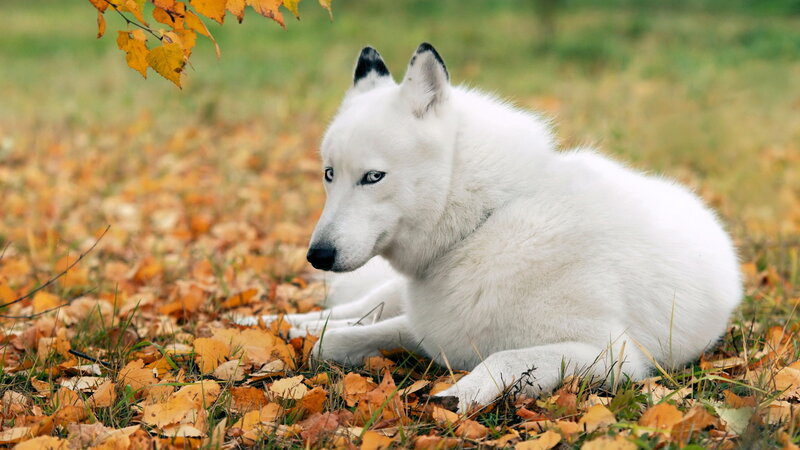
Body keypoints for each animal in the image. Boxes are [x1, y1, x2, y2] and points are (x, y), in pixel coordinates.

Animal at [243, 43, 742, 412]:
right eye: (329, 174)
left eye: (373, 177)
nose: (317, 256)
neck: (485, 224)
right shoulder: (428, 330)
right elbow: (332, 342)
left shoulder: (611, 356)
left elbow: (505, 357)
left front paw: (456, 395)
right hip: (386, 296)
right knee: (340, 314)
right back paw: (263, 322)